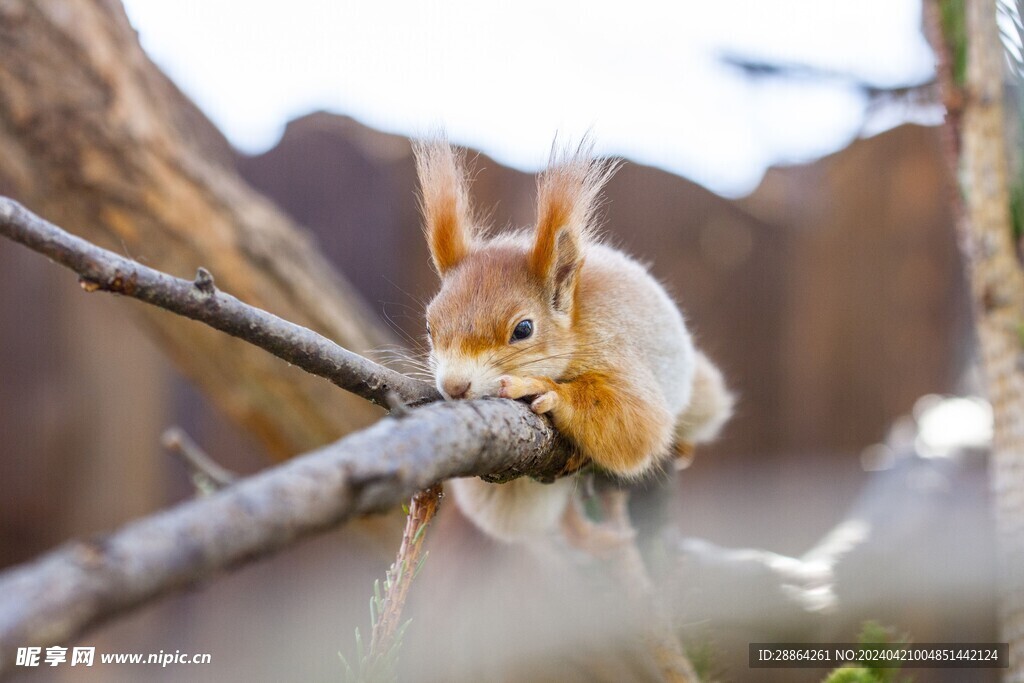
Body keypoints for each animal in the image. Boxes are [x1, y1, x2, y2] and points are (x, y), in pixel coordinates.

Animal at [411, 140, 733, 544]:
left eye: (523, 329)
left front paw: (545, 390)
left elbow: (639, 423)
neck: (576, 326)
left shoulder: (614, 344)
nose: (454, 386)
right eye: (428, 326)